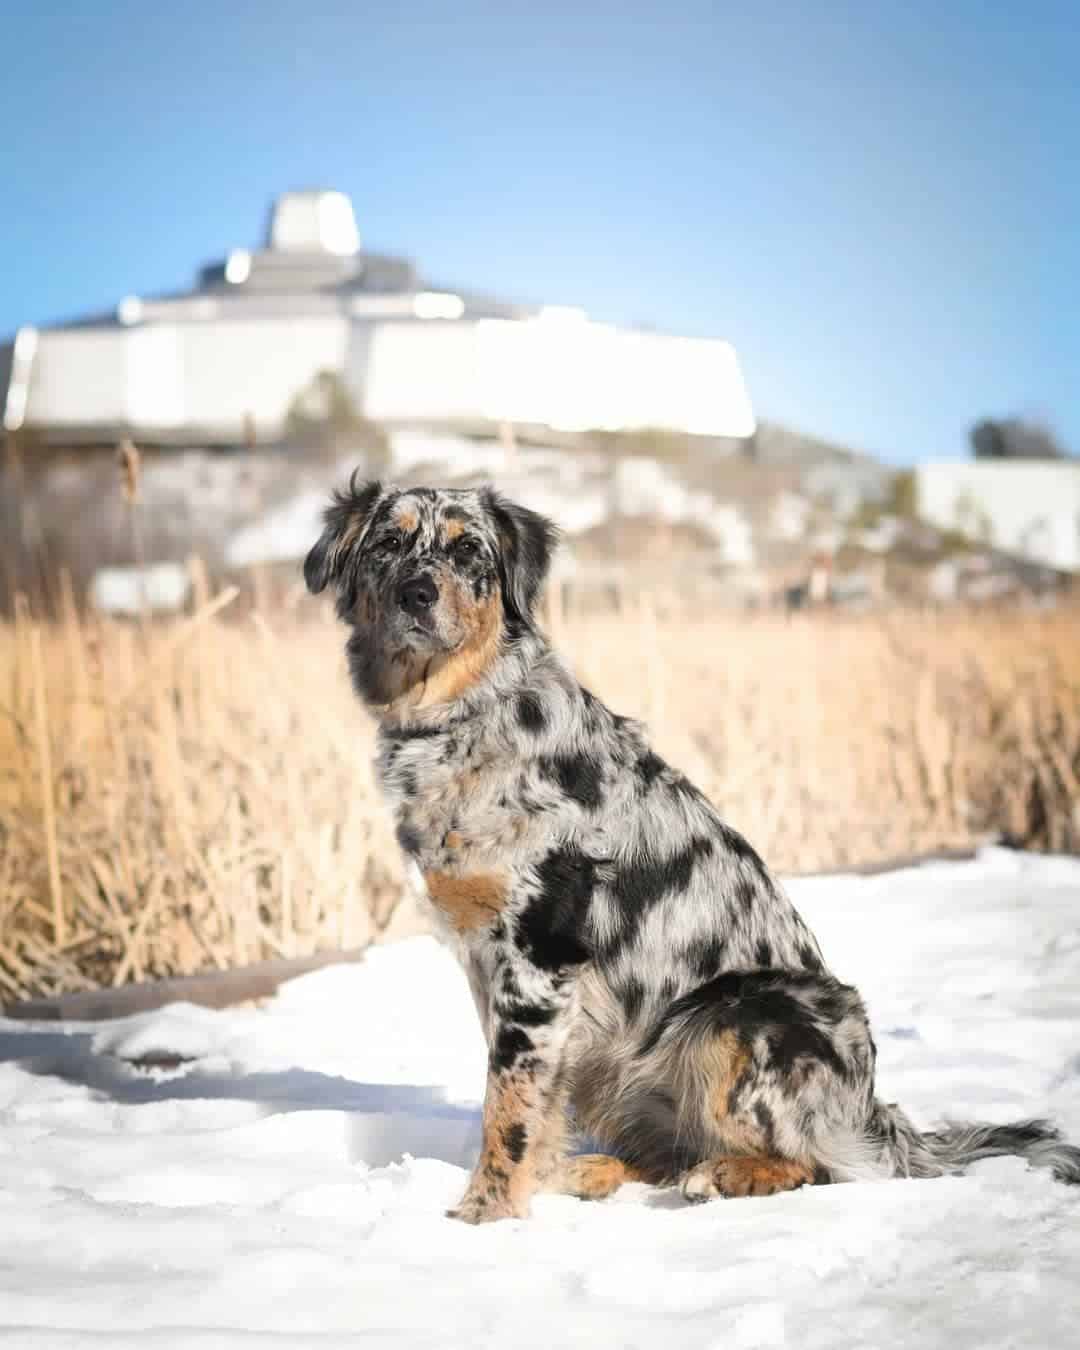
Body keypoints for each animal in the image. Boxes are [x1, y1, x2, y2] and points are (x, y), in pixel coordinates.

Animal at [306, 477, 1080, 1225]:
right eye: (388, 543)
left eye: (469, 550)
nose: (417, 593)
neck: (456, 717)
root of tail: (874, 1112)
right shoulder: (492, 963)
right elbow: (530, 1100)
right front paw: (530, 1188)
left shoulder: (538, 955)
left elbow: (511, 1106)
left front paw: (484, 1214)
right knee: (663, 1151)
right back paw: (594, 1171)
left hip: (737, 1016)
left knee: (820, 1164)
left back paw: (727, 1174)